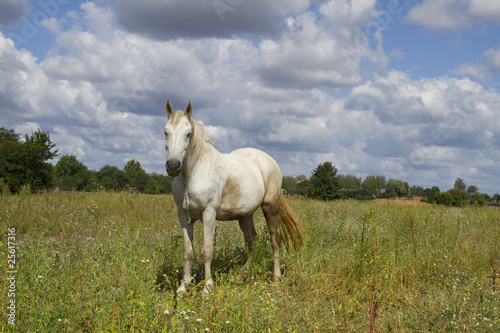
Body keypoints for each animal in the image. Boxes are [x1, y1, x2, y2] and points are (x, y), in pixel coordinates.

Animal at [164, 100, 306, 292]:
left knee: (275, 239)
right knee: (252, 241)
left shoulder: (209, 214)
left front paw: (207, 288)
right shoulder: (183, 215)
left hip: (270, 207)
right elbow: (187, 251)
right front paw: (182, 287)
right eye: (166, 132)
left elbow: (206, 251)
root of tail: (269, 160)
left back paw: (276, 280)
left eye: (188, 134)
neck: (193, 173)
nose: (173, 166)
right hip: (245, 215)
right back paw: (240, 276)